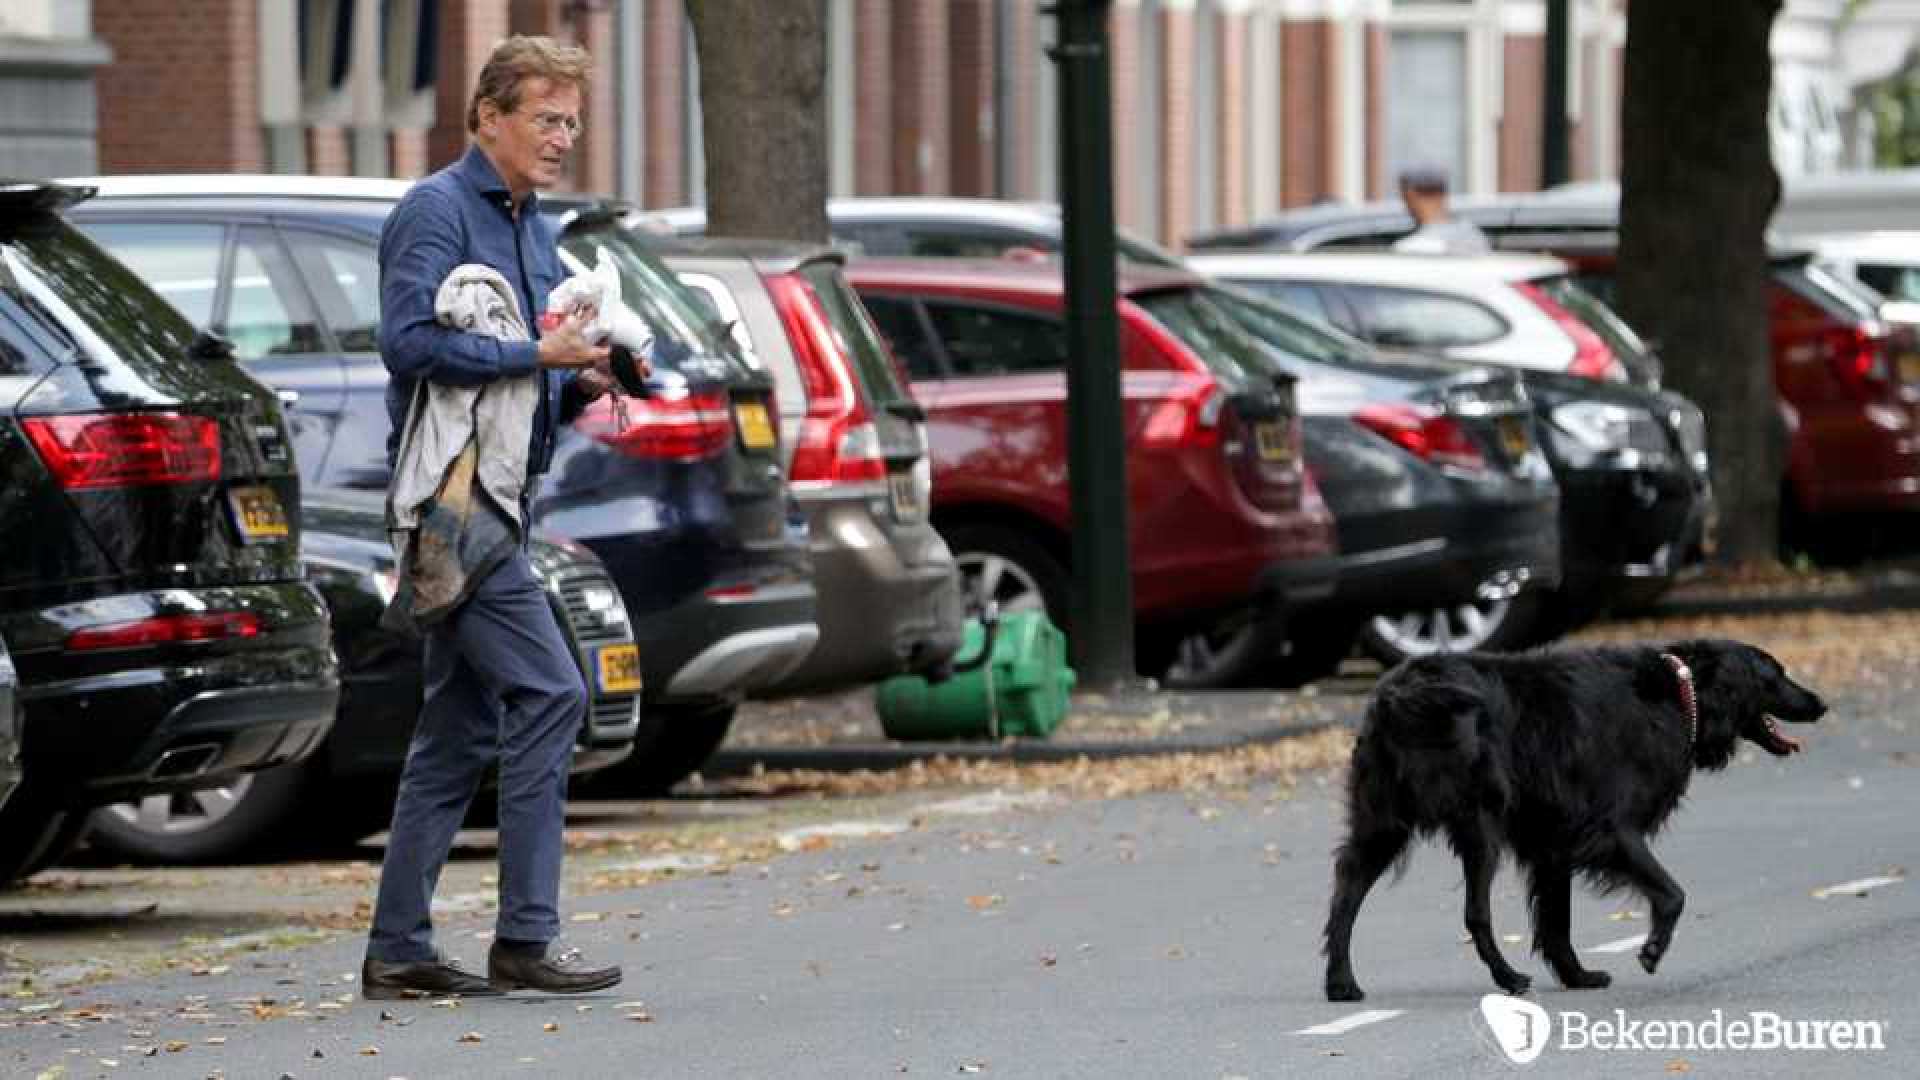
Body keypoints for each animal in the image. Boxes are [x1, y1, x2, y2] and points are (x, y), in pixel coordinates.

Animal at [1328, 634, 1820, 999]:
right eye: (1776, 674)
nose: (1820, 703)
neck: (1679, 693)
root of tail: (1401, 693)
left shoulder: (1554, 844)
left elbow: (1556, 919)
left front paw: (1576, 976)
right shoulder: (1611, 829)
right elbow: (1672, 894)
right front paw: (1652, 948)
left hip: (1383, 824)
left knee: (1345, 896)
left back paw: (1341, 983)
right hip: (1479, 824)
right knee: (1474, 914)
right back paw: (1508, 979)